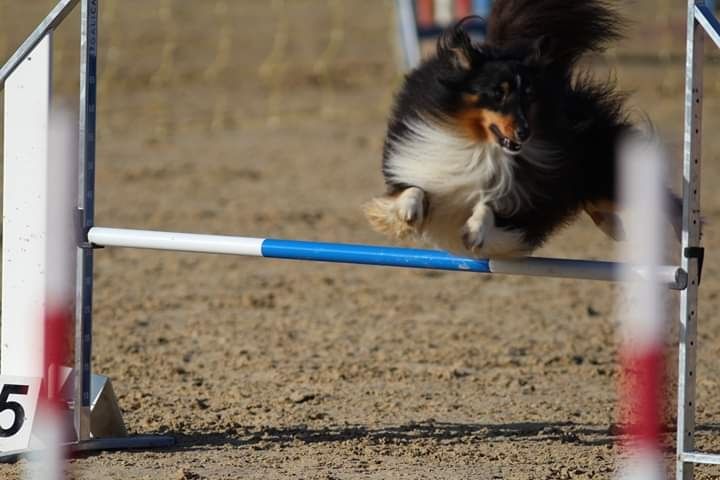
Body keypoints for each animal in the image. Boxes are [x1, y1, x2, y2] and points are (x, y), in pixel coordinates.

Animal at [366, 0, 680, 258]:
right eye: (498, 93)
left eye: (529, 95)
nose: (524, 133)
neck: (480, 147)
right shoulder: (422, 166)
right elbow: (412, 188)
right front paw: (408, 212)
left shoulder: (522, 209)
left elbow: (489, 208)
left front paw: (474, 232)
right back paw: (615, 227)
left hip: (603, 173)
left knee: (658, 199)